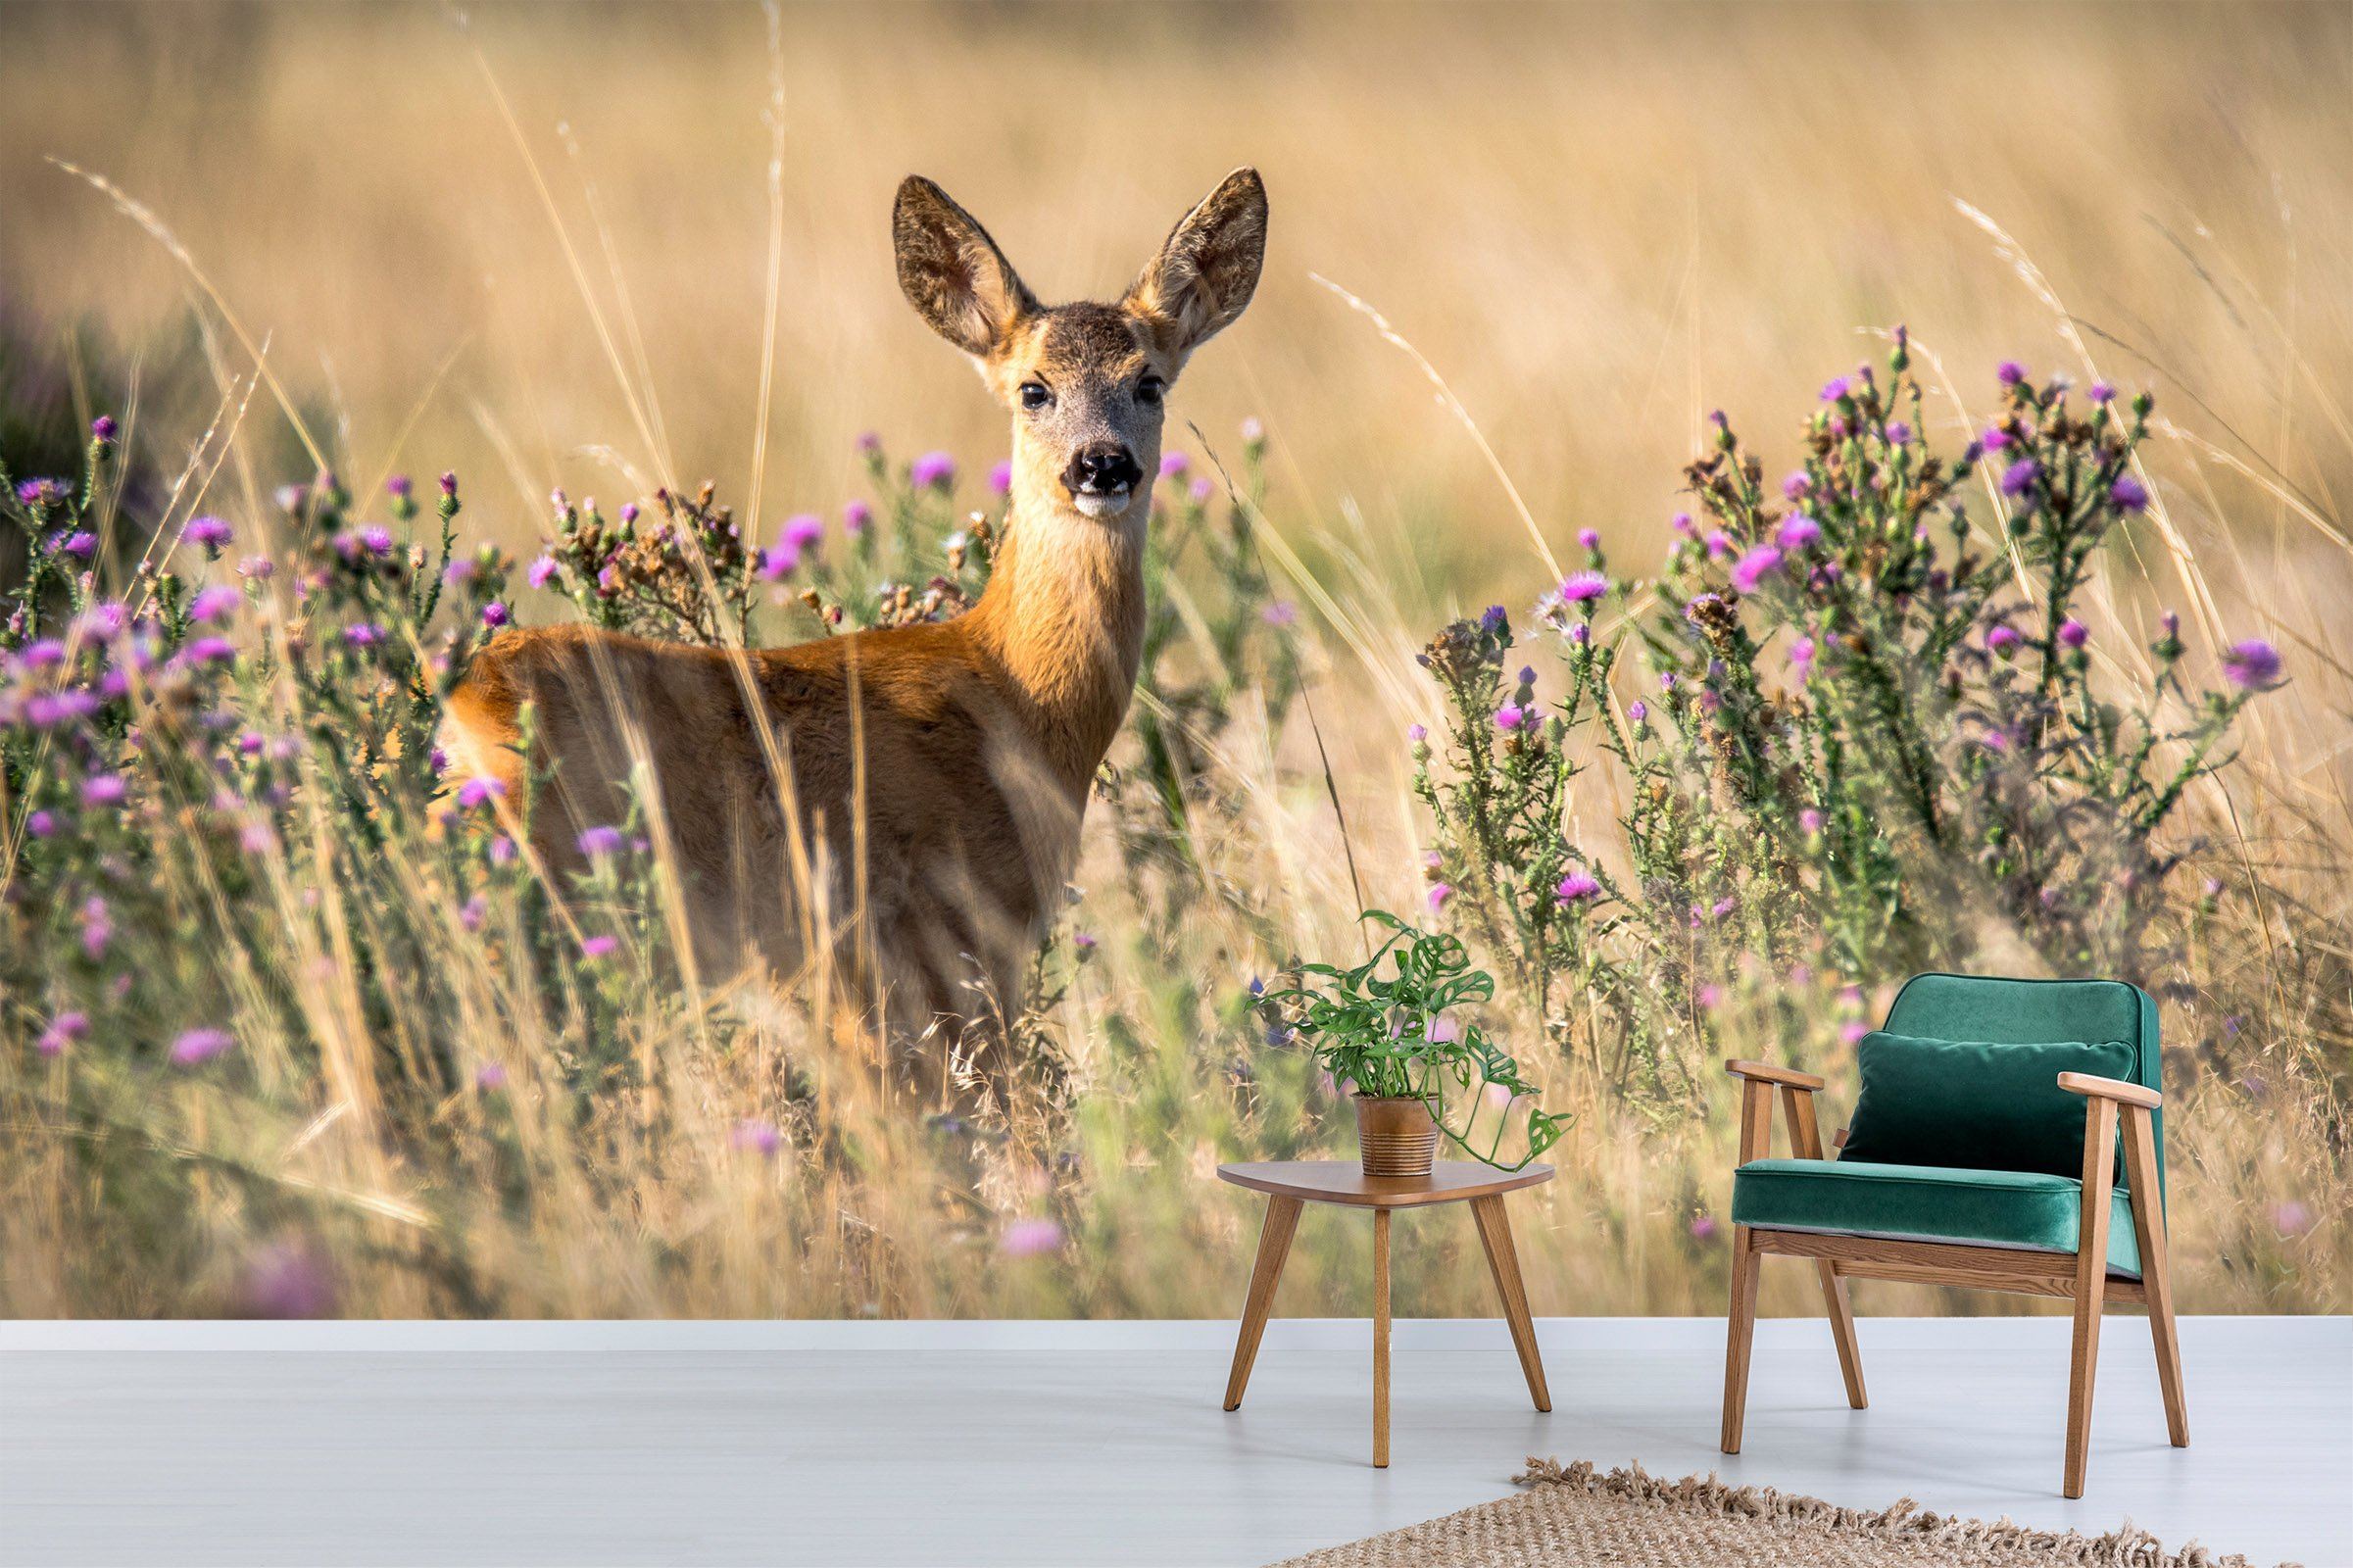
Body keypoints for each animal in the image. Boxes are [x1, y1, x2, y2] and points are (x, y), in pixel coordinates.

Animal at [440, 169, 1267, 1068]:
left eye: (1149, 382)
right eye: (1033, 389)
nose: (1101, 465)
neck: (1013, 695)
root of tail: (461, 706)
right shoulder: (937, 936)